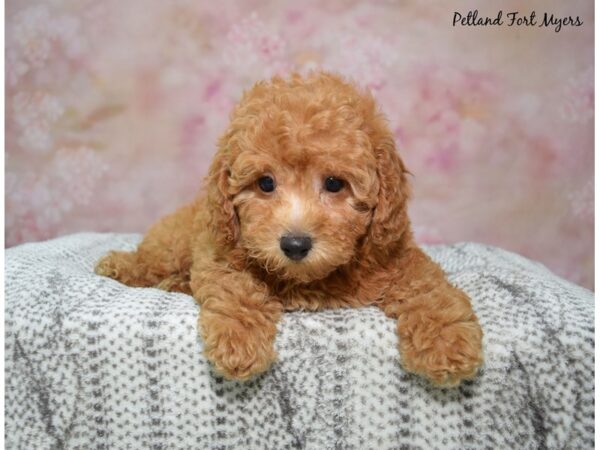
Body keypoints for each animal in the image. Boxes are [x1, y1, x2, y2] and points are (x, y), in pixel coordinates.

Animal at [96, 70, 486, 386]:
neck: (309, 278)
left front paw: (447, 342)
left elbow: (429, 289)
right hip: (173, 243)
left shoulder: (397, 255)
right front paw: (238, 340)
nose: (295, 245)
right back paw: (120, 265)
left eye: (334, 183)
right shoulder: (219, 253)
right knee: (150, 261)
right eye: (265, 184)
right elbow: (236, 288)